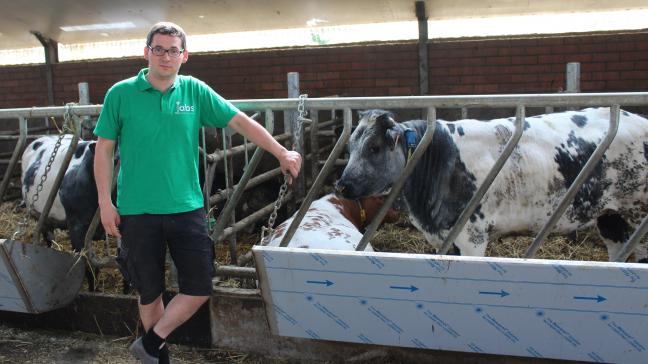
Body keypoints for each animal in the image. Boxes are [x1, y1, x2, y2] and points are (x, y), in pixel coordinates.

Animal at [334, 108, 648, 262]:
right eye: (349, 146)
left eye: (374, 147)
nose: (342, 186)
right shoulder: (445, 238)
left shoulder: (472, 237)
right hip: (609, 215)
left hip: (638, 212)